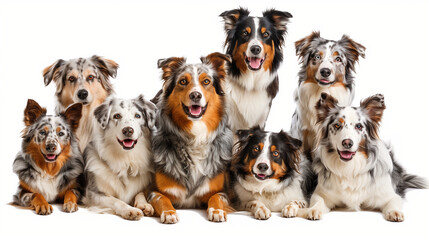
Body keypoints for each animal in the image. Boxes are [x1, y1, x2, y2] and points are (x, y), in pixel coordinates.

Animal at [148, 52, 234, 223]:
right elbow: (161, 198)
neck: (195, 136)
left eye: (206, 81)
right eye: (183, 81)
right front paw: (169, 213)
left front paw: (216, 211)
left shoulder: (220, 190)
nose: (195, 95)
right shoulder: (152, 191)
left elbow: (217, 197)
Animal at [302, 93, 426, 221]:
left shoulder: (390, 195)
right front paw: (314, 210)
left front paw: (395, 212)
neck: (350, 168)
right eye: (337, 125)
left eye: (359, 126)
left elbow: (393, 202)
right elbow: (318, 201)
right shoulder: (321, 193)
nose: (347, 143)